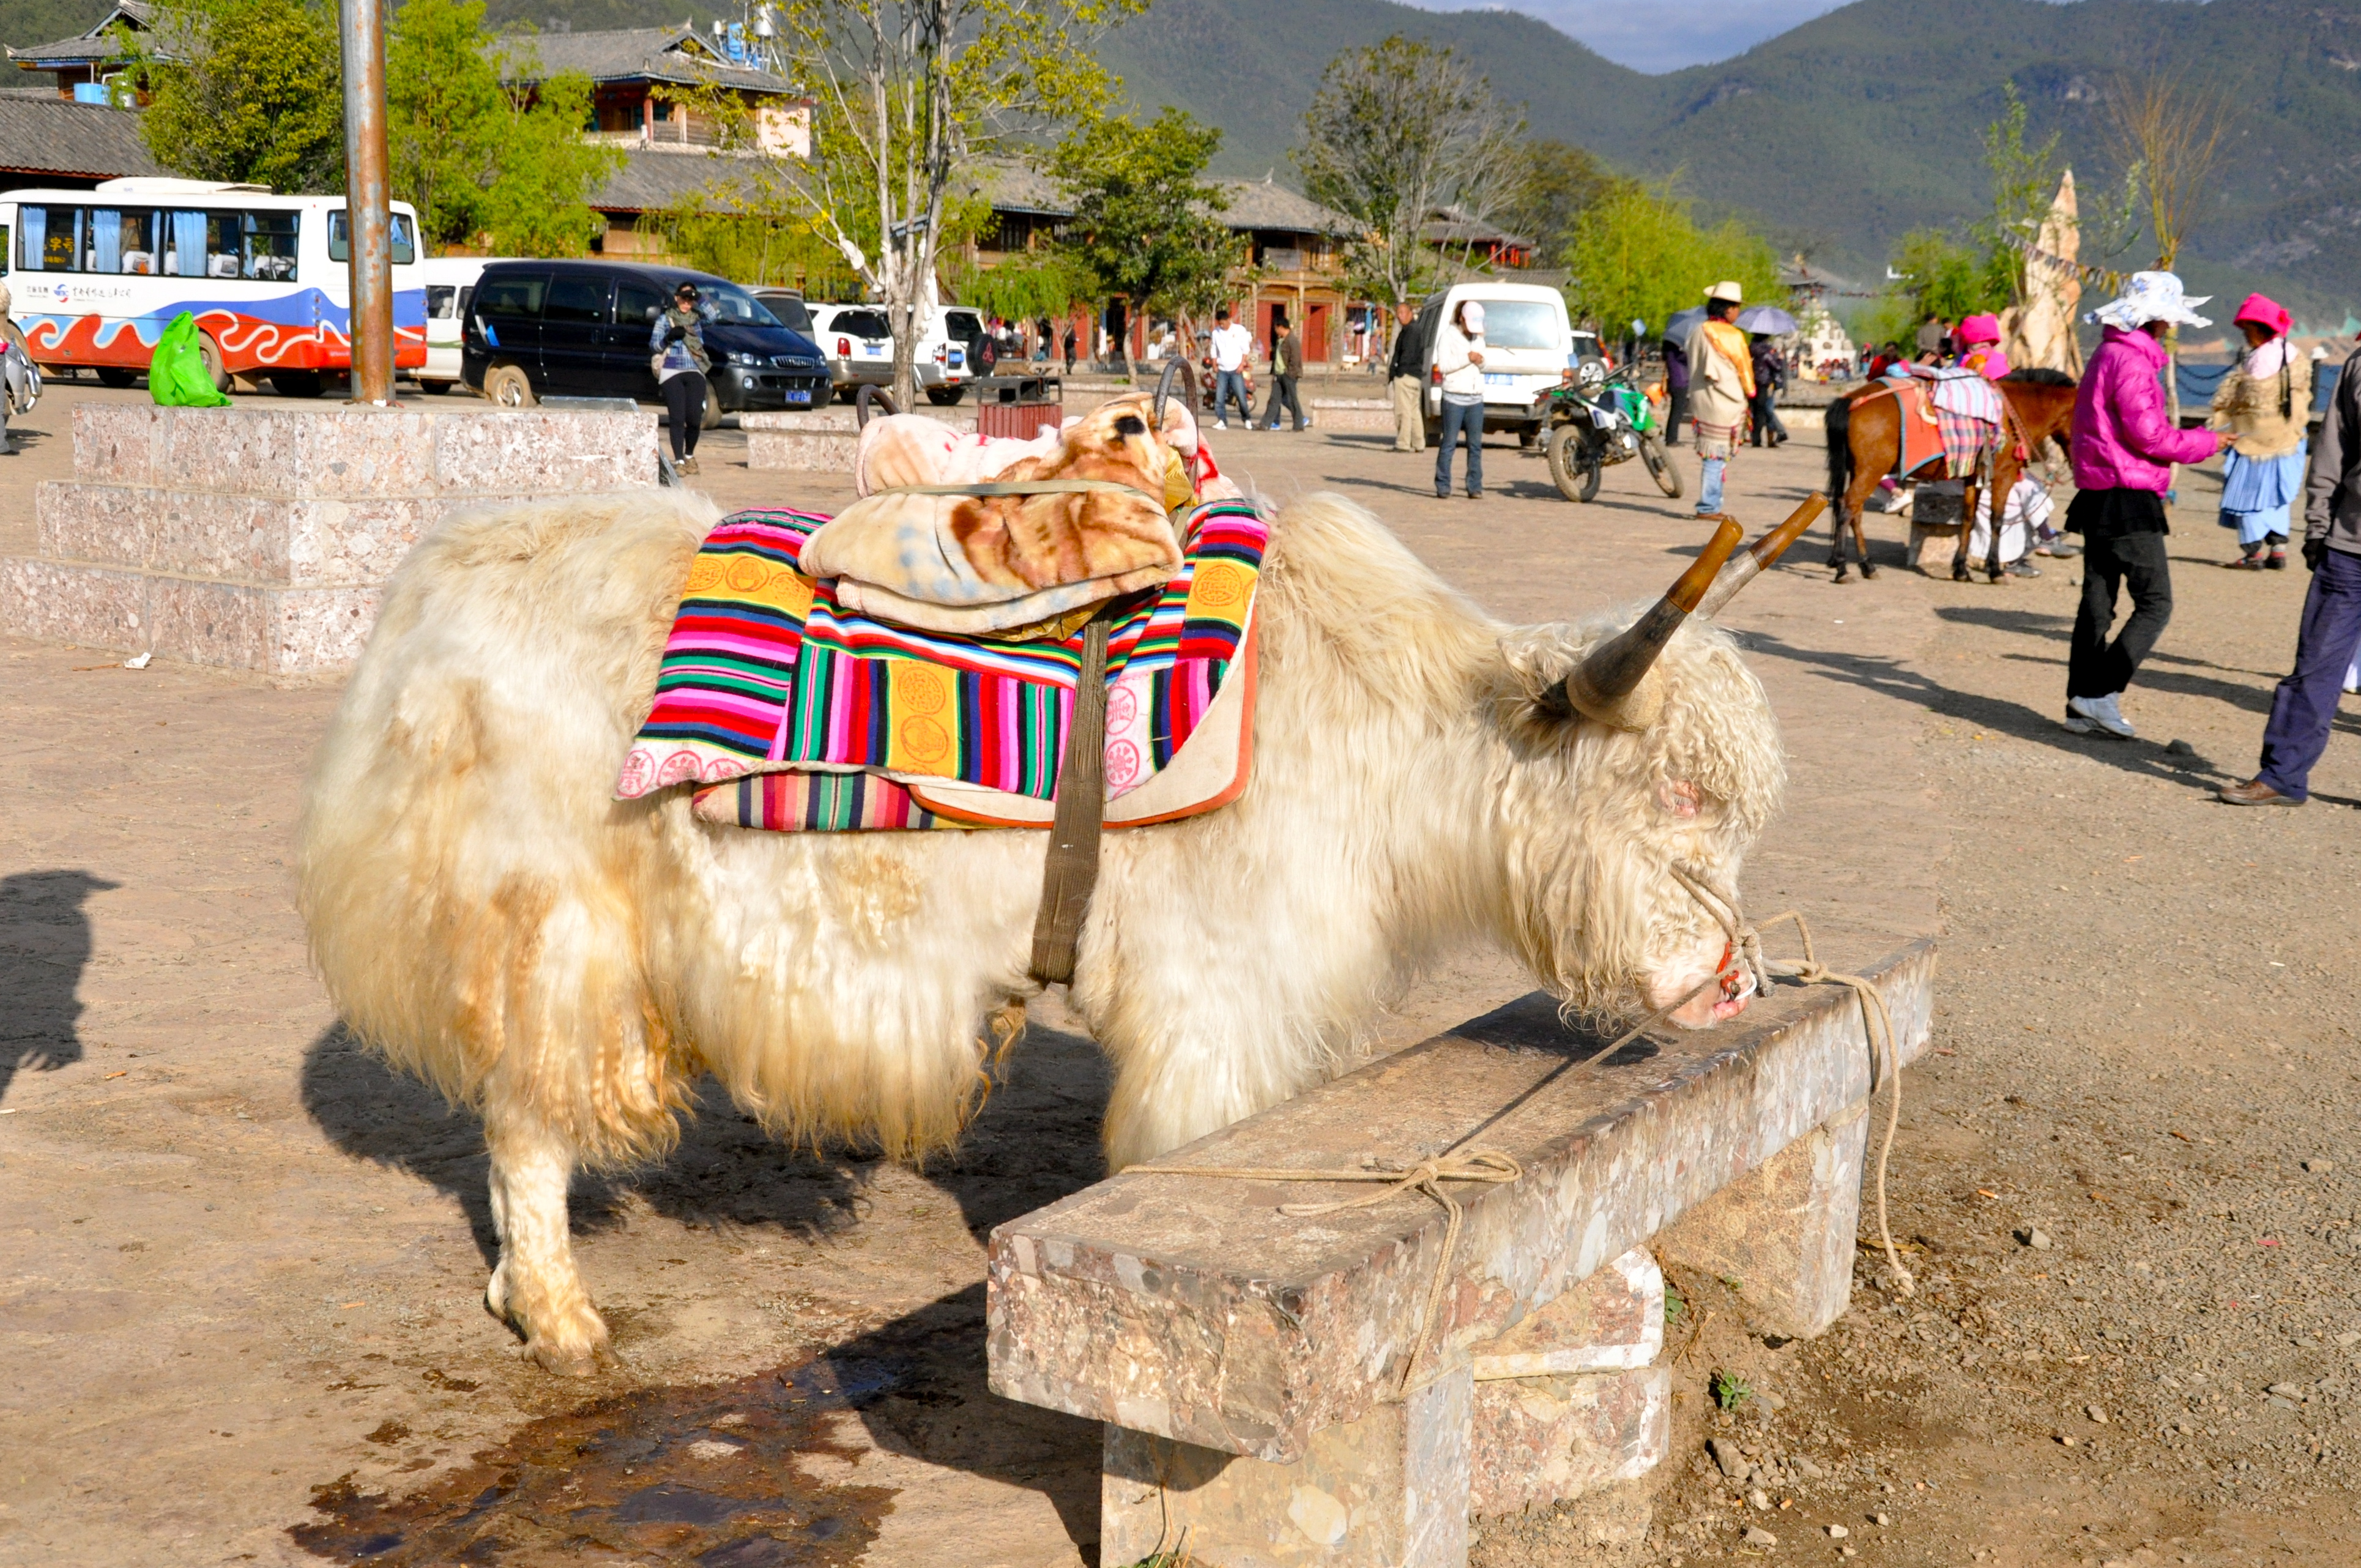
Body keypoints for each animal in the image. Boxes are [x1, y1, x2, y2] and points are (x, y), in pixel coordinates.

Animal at [297, 488, 1798, 1375]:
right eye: (1673, 791)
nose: (1732, 987)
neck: (1378, 720)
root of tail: (433, 591)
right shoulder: (1212, 1005)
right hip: (556, 933)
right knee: (525, 1119)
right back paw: (558, 1318)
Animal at [1823, 369, 2077, 583]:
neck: (2013, 410)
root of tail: (1851, 400)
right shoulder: (2004, 476)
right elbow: (1996, 520)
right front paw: (1995, 570)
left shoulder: (1973, 477)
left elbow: (1969, 518)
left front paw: (1961, 569)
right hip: (1871, 471)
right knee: (1847, 508)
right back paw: (1843, 568)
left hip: (1860, 470)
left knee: (1854, 512)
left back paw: (1867, 566)